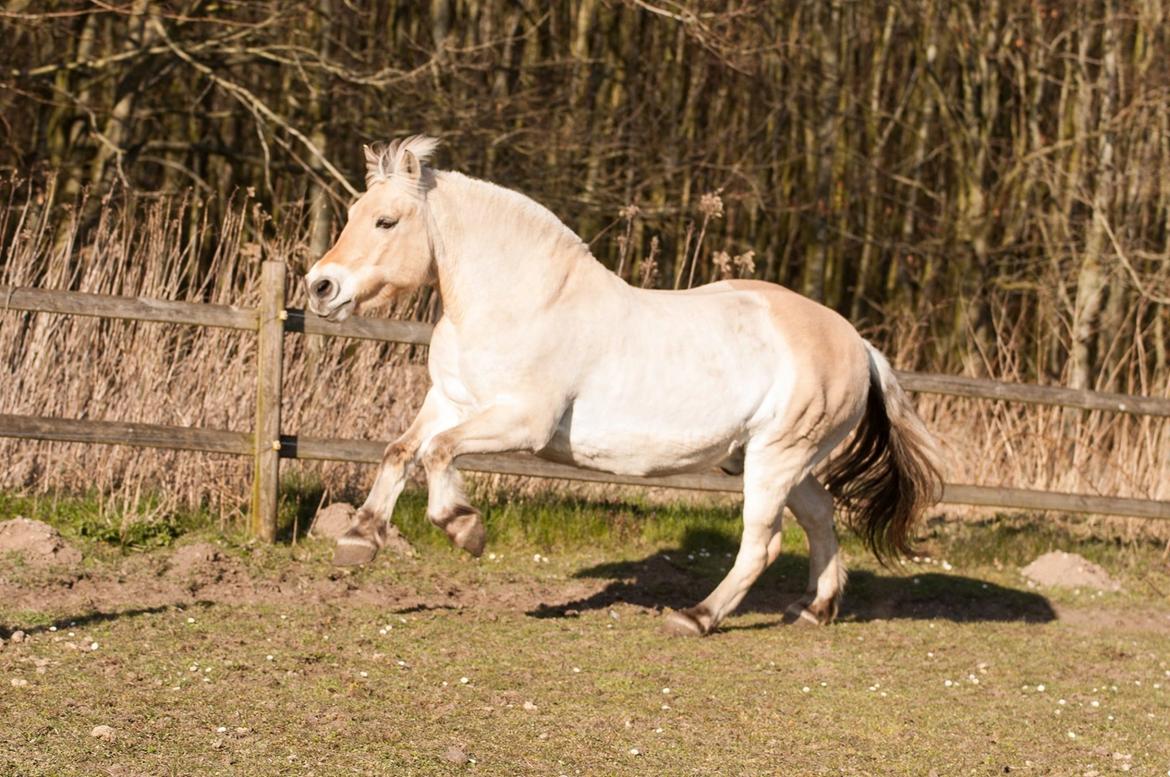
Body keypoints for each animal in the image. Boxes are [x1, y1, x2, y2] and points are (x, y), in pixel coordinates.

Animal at [304, 136, 940, 636]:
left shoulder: (521, 421)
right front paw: (359, 538)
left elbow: (437, 454)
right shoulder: (450, 401)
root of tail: (857, 343)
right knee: (821, 515)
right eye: (354, 213)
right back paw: (815, 609)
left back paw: (696, 617)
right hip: (772, 457)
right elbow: (400, 451)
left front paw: (465, 528)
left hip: (778, 457)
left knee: (763, 541)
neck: (522, 300)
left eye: (386, 221)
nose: (320, 287)